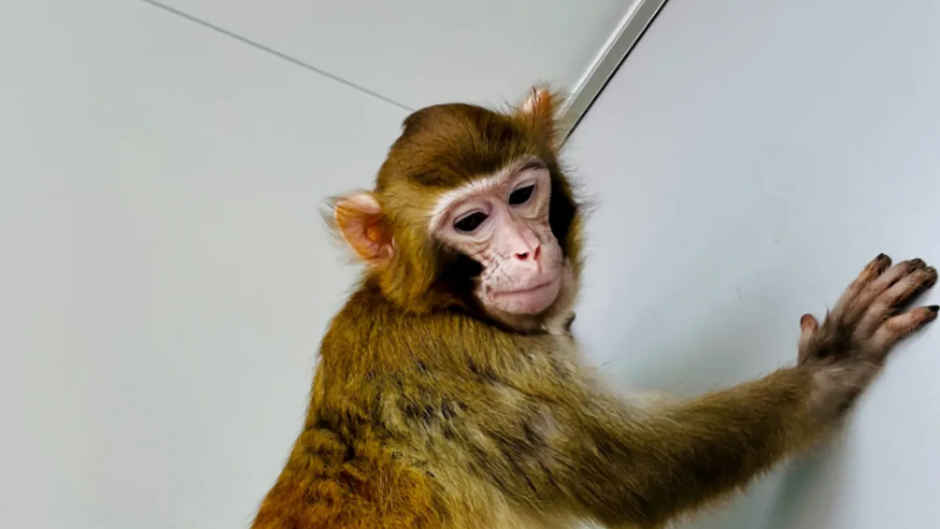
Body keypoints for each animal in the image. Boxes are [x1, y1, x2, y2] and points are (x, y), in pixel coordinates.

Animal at [248, 87, 938, 529]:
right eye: (471, 222)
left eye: (522, 194)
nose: (527, 250)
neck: (435, 307)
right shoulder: (457, 364)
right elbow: (644, 472)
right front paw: (834, 360)